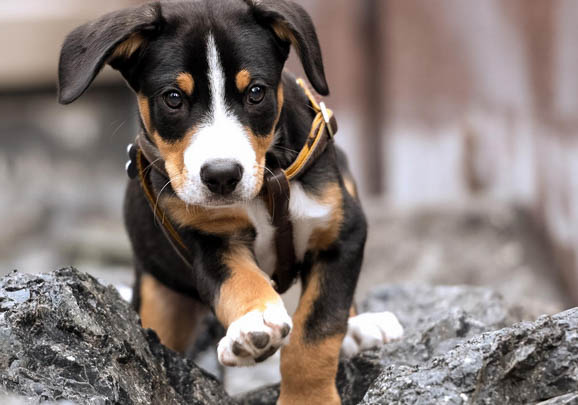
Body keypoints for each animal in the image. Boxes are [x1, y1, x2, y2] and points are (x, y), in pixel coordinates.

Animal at [57, 1, 400, 402]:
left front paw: (308, 396)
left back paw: (360, 328)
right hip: (161, 298)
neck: (264, 190)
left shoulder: (342, 234)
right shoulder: (210, 243)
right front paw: (254, 326)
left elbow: (316, 330)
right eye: (173, 98)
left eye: (255, 92)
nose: (222, 175)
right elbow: (240, 282)